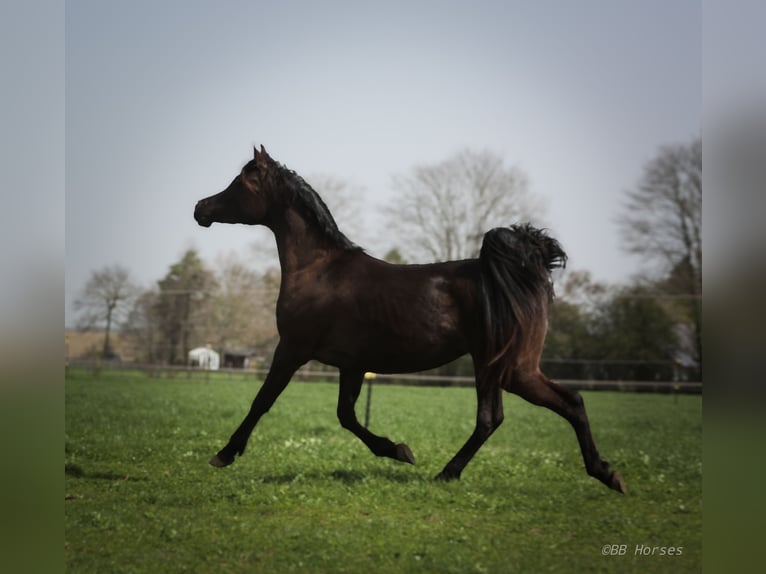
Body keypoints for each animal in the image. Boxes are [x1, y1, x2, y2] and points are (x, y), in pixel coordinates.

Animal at [195, 146, 628, 492]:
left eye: (240, 182)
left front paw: (224, 453)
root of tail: (525, 272)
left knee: (559, 403)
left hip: (510, 368)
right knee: (503, 416)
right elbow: (346, 416)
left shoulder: (292, 349)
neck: (320, 270)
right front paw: (399, 450)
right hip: (497, 367)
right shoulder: (352, 365)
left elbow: (262, 401)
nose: (200, 208)